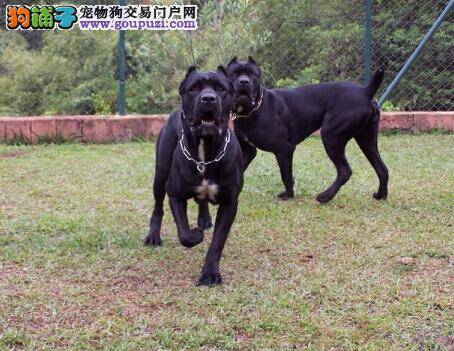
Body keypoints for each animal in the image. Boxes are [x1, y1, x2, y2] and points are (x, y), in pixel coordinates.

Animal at [145, 66, 245, 288]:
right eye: (194, 88)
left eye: (221, 88)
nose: (208, 98)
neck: (204, 153)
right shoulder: (176, 195)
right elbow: (184, 233)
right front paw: (195, 235)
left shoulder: (230, 203)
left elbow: (217, 242)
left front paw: (210, 273)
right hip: (160, 175)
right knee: (157, 207)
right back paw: (153, 236)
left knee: (202, 202)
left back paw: (204, 219)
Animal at [225, 57, 388, 204]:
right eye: (233, 74)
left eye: (253, 75)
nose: (244, 82)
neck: (252, 110)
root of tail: (365, 91)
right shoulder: (248, 151)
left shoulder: (284, 150)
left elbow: (286, 175)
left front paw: (288, 196)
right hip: (366, 141)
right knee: (382, 169)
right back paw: (381, 195)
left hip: (331, 136)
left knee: (344, 171)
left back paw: (325, 197)